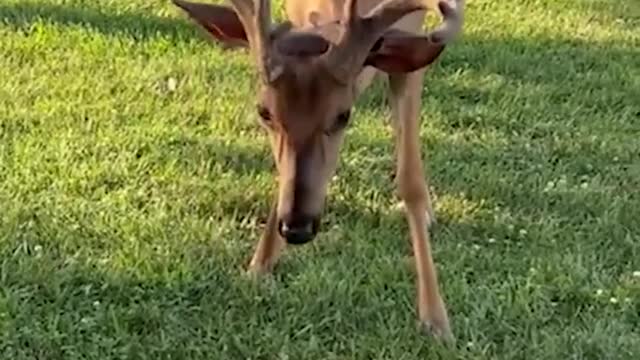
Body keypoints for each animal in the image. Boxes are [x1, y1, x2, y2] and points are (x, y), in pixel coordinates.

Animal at [171, 0, 464, 340]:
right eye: (264, 112)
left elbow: (410, 181)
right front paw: (259, 265)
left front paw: (435, 318)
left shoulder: (411, 51)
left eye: (342, 115)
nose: (296, 227)